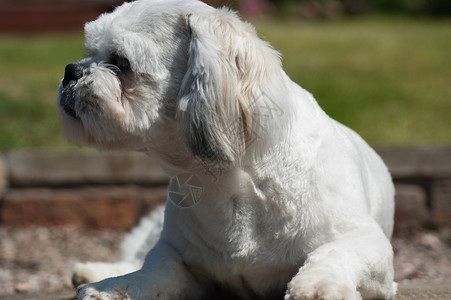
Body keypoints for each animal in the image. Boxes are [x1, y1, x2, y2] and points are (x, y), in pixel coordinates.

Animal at [57, 1, 400, 298]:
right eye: (89, 52)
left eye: (121, 63)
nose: (70, 70)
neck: (228, 181)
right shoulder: (177, 256)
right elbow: (151, 271)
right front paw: (114, 287)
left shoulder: (366, 243)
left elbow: (333, 253)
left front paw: (318, 286)